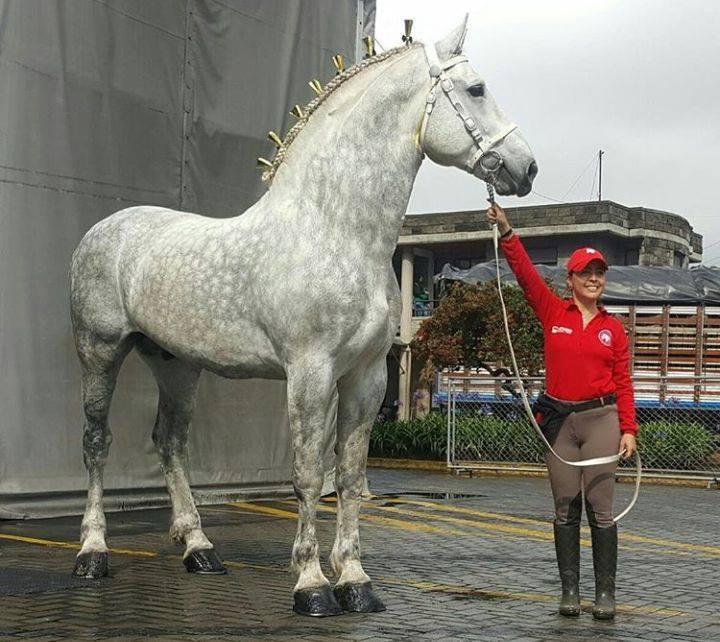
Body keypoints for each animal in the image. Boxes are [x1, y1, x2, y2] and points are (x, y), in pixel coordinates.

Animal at [70, 17, 536, 612]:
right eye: (476, 89)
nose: (526, 167)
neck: (335, 230)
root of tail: (104, 230)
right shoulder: (309, 373)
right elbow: (310, 475)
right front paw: (312, 584)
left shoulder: (366, 377)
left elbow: (351, 474)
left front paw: (356, 582)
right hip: (100, 351)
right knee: (96, 442)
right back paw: (93, 552)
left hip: (177, 364)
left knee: (170, 441)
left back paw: (199, 548)